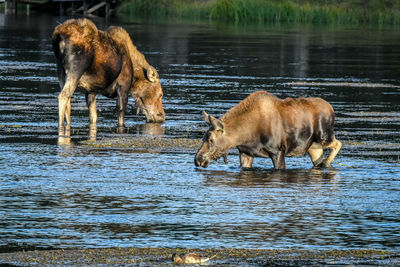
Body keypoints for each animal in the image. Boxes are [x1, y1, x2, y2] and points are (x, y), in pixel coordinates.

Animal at [195, 90, 342, 170]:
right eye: (203, 138)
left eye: (211, 139)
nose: (197, 159)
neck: (244, 136)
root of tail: (331, 109)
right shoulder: (245, 153)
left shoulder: (278, 151)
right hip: (313, 147)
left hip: (324, 136)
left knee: (338, 143)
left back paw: (327, 163)